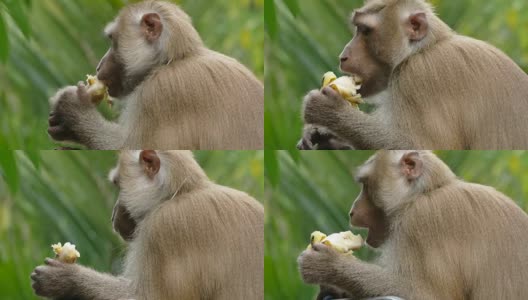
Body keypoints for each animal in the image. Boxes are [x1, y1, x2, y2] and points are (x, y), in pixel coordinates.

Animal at [48, 0, 264, 150]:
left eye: (112, 41)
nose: (99, 65)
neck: (173, 60)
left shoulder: (158, 94)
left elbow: (129, 147)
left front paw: (72, 112)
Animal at [300, 0, 528, 150]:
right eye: (358, 29)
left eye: (365, 31)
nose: (343, 56)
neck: (421, 49)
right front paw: (324, 135)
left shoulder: (418, 77)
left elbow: (425, 145)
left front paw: (329, 111)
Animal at [300, 151, 528, 298]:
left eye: (365, 186)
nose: (352, 210)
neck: (425, 193)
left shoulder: (420, 222)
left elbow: (431, 295)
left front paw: (328, 265)